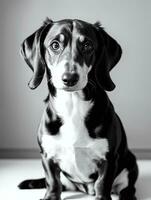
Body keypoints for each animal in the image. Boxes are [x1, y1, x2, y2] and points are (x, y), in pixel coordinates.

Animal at [18, 18, 138, 200]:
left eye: (87, 45)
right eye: (55, 45)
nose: (69, 78)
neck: (72, 108)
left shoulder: (108, 159)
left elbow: (102, 184)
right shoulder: (47, 156)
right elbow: (52, 182)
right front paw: (50, 196)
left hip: (130, 164)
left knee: (128, 189)